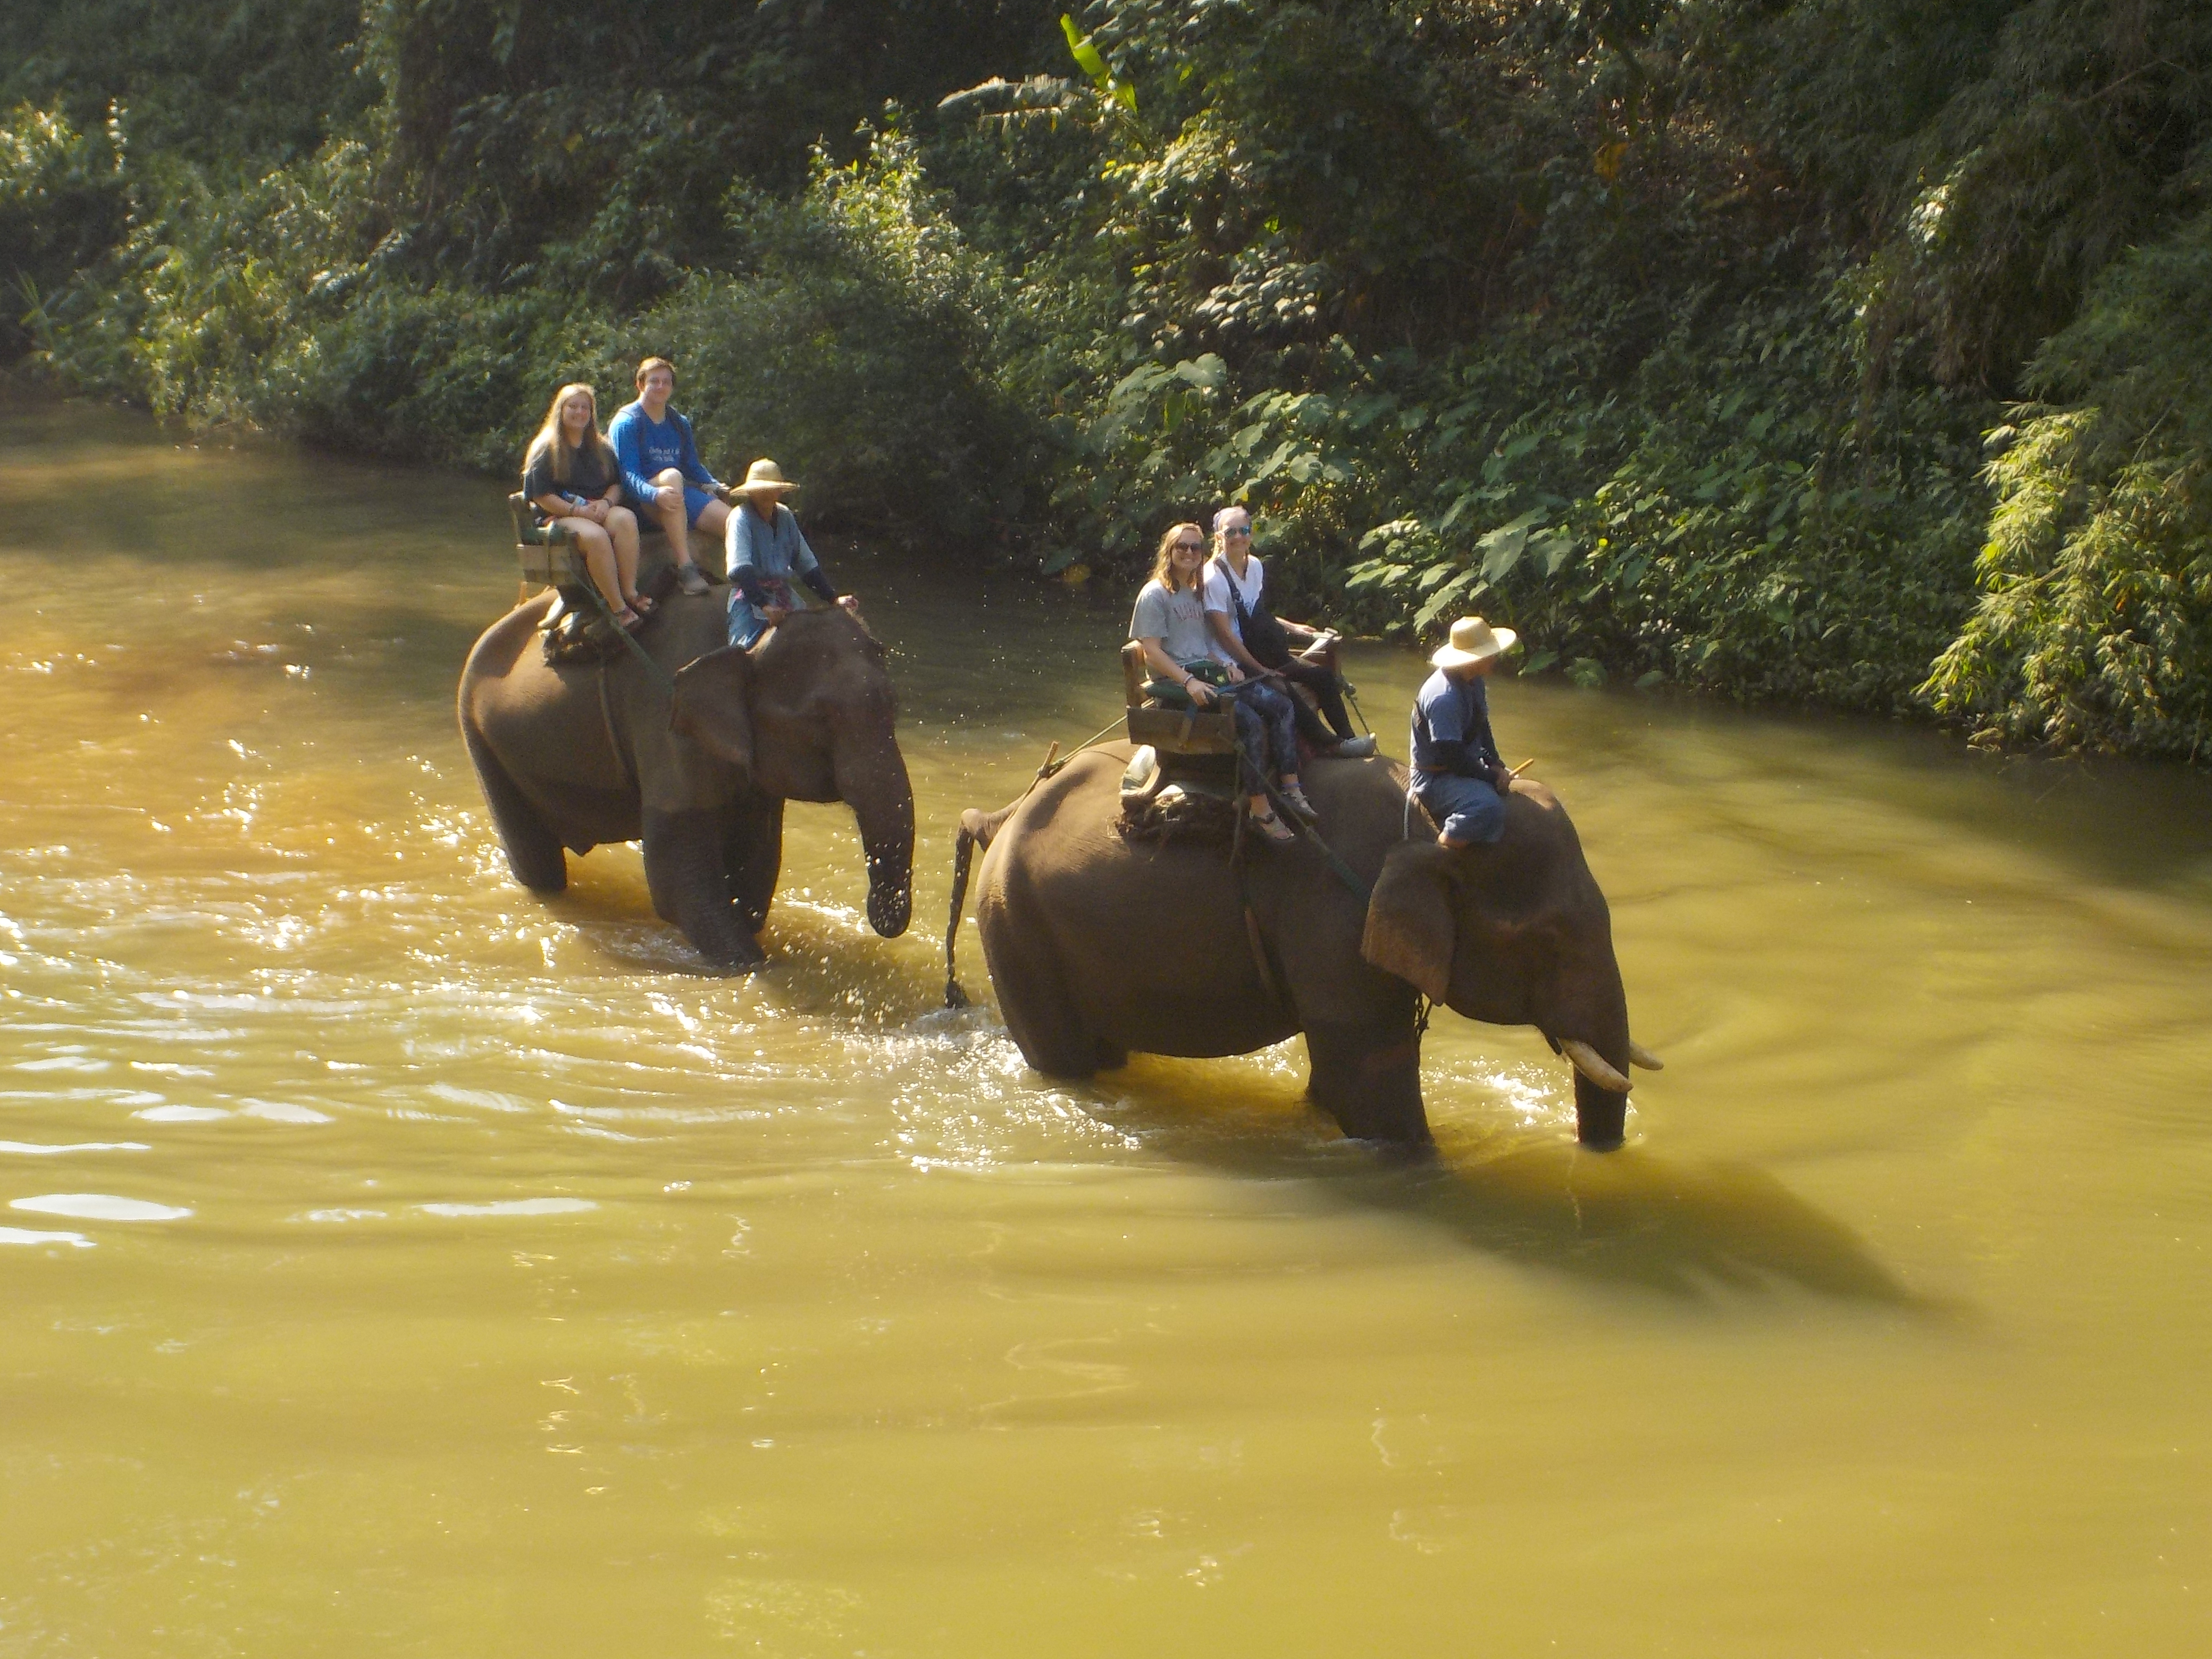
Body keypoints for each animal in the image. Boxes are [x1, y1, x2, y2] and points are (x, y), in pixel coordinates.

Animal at [453, 588, 911, 969]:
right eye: (819, 720)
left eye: (893, 704)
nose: (877, 917)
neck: (748, 639)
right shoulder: (666, 723)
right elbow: (677, 882)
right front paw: (754, 967)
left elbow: (758, 866)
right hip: (480, 739)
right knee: (538, 866)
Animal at [946, 748, 1663, 1150]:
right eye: (1547, 938)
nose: (1592, 1155)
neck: (1428, 820)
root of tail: (1003, 814)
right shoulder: (1333, 921)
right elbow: (1365, 1079)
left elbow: (1338, 1076)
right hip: (1013, 929)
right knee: (1064, 1060)